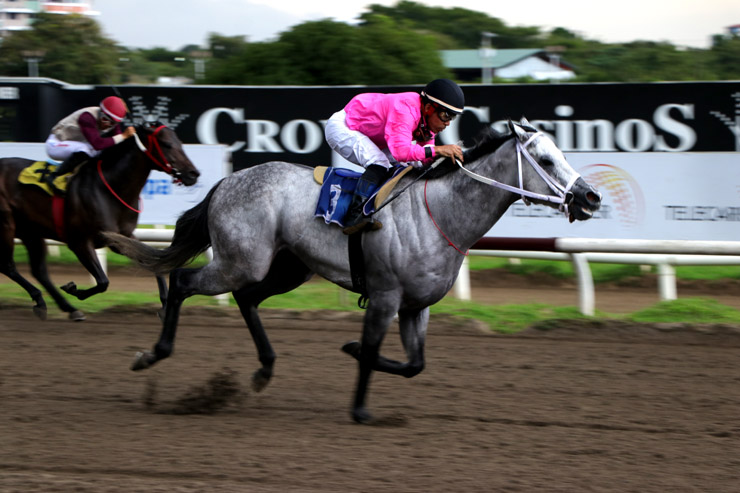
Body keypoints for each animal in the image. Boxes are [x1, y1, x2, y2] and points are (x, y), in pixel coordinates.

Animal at [0, 123, 199, 320]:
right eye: (167, 144)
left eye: (180, 143)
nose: (193, 173)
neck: (107, 189)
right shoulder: (80, 242)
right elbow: (103, 281)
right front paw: (74, 289)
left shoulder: (122, 237)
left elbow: (154, 263)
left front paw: (165, 306)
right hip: (7, 225)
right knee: (8, 266)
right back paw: (42, 299)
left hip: (30, 231)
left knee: (39, 271)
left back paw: (65, 307)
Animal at [104, 118, 600, 422]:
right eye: (548, 160)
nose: (590, 197)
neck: (440, 212)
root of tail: (228, 180)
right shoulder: (384, 297)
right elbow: (375, 348)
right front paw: (360, 406)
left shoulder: (415, 306)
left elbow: (415, 364)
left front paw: (351, 349)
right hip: (242, 261)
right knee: (183, 281)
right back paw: (153, 353)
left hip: (286, 267)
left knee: (246, 298)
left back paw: (265, 369)